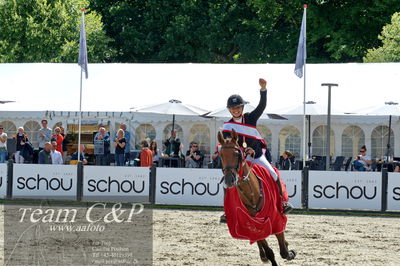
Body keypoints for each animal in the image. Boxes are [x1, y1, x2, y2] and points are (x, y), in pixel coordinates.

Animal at [217, 130, 296, 264]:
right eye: (221, 155)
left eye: (236, 154)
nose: (229, 180)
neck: (251, 193)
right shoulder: (253, 223)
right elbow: (269, 251)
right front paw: (268, 254)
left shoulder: (277, 218)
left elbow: (284, 251)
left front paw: (290, 252)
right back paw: (262, 255)